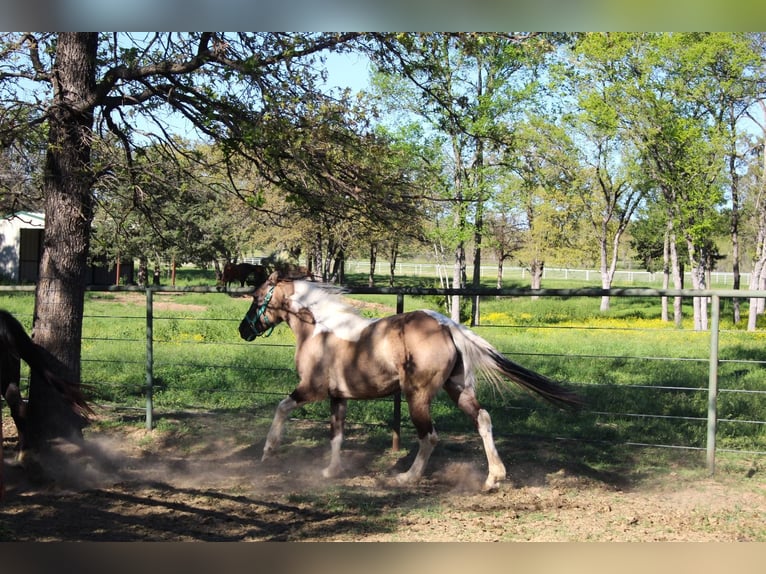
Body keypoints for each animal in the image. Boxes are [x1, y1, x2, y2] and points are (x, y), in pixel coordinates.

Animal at [240, 272, 584, 492]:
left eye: (256, 297)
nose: (244, 330)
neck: (321, 330)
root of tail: (447, 326)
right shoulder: (338, 397)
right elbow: (336, 435)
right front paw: (330, 471)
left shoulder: (312, 390)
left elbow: (282, 407)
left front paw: (269, 451)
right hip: (458, 390)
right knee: (483, 419)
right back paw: (492, 479)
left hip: (416, 396)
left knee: (429, 436)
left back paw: (407, 478)